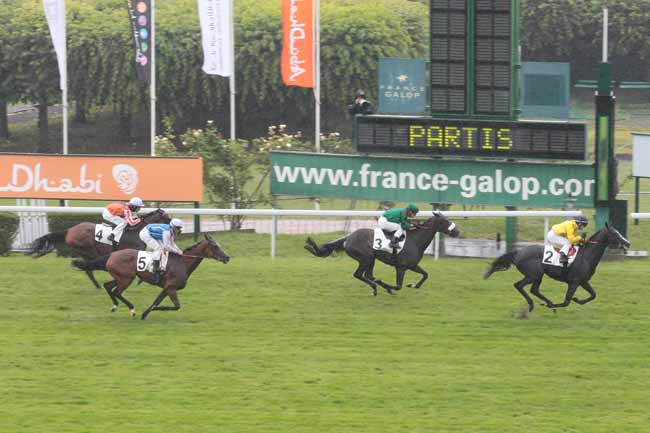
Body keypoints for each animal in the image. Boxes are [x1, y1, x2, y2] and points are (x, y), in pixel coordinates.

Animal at [27, 208, 170, 288]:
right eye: (167, 218)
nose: (172, 227)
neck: (136, 230)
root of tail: (69, 231)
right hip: (88, 249)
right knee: (90, 266)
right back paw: (99, 284)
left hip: (85, 251)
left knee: (89, 267)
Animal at [70, 235, 228, 318]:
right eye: (215, 246)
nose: (227, 257)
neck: (182, 262)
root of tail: (112, 254)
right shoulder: (171, 287)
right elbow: (175, 306)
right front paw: (148, 312)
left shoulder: (167, 288)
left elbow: (156, 301)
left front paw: (146, 313)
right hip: (126, 279)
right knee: (116, 292)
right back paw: (132, 309)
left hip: (121, 277)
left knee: (108, 286)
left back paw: (115, 306)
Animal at [302, 212, 458, 296]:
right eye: (445, 221)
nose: (457, 231)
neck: (415, 240)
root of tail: (348, 238)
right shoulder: (401, 267)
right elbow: (398, 286)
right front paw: (390, 287)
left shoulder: (412, 265)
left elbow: (425, 275)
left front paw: (413, 285)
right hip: (367, 258)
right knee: (359, 275)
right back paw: (376, 287)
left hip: (370, 259)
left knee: (367, 275)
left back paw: (376, 285)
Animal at [480, 223, 628, 310]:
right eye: (615, 233)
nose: (627, 243)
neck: (586, 256)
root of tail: (518, 252)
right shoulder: (574, 282)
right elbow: (566, 301)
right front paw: (556, 304)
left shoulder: (583, 281)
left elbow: (593, 295)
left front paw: (577, 300)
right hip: (534, 274)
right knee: (519, 285)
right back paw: (534, 304)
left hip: (537, 276)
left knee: (534, 290)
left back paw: (546, 302)